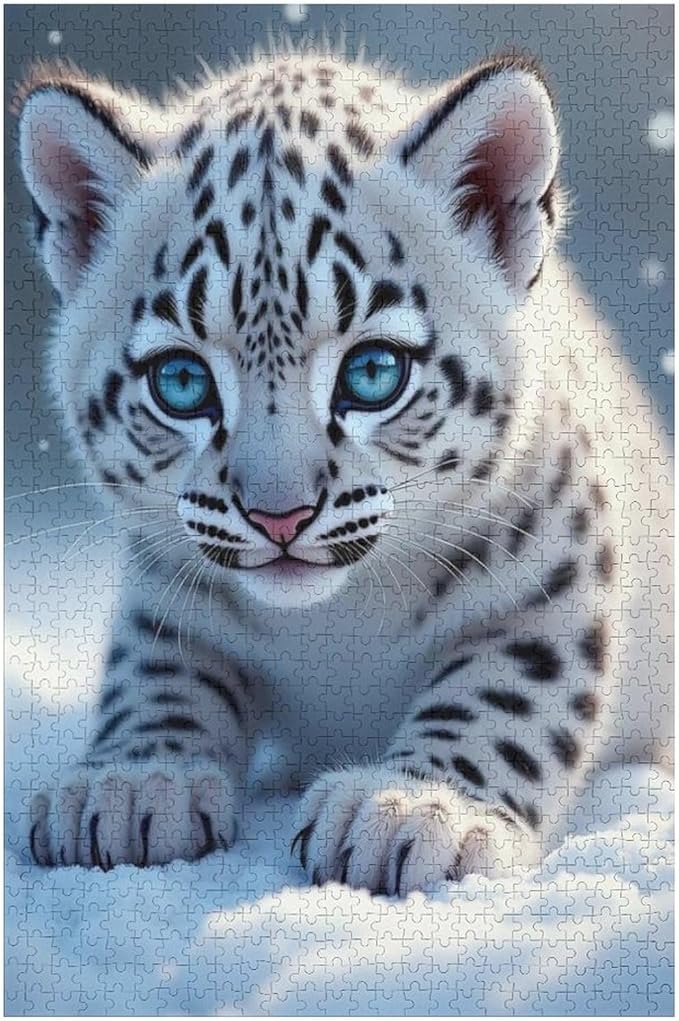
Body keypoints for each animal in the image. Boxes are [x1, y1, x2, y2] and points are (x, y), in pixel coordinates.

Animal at [16, 46, 672, 895]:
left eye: (372, 372)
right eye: (181, 382)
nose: (279, 515)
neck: (337, 621)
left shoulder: (551, 577)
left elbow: (501, 691)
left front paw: (409, 807)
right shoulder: (168, 584)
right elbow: (156, 673)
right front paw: (128, 784)